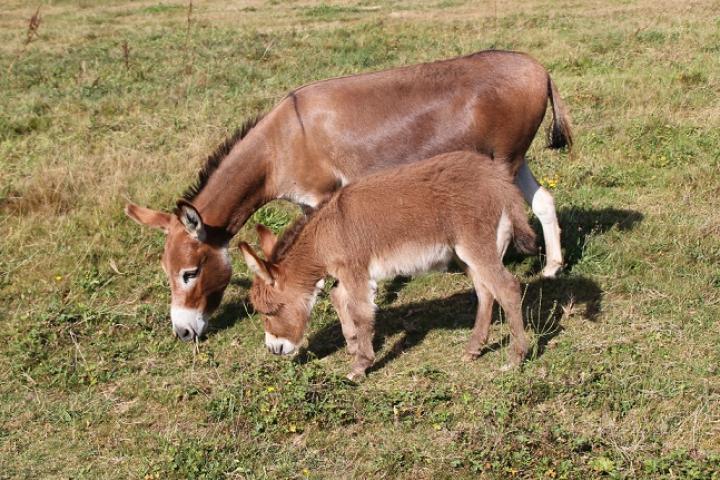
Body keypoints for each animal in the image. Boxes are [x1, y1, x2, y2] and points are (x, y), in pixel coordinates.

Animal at [240, 152, 536, 380]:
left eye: (271, 310)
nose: (274, 349)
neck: (326, 234)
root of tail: (497, 179)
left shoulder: (355, 271)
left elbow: (361, 313)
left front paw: (360, 366)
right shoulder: (348, 275)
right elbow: (338, 298)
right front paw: (353, 345)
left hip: (476, 246)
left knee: (507, 288)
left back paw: (516, 358)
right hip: (465, 254)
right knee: (485, 291)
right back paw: (474, 349)